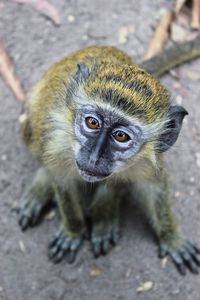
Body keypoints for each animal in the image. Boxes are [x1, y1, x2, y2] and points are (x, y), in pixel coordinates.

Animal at [17, 35, 200, 274]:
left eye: (121, 136)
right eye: (92, 122)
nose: (94, 157)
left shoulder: (148, 160)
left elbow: (153, 189)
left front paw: (172, 238)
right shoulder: (57, 142)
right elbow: (62, 180)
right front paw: (73, 230)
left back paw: (105, 215)